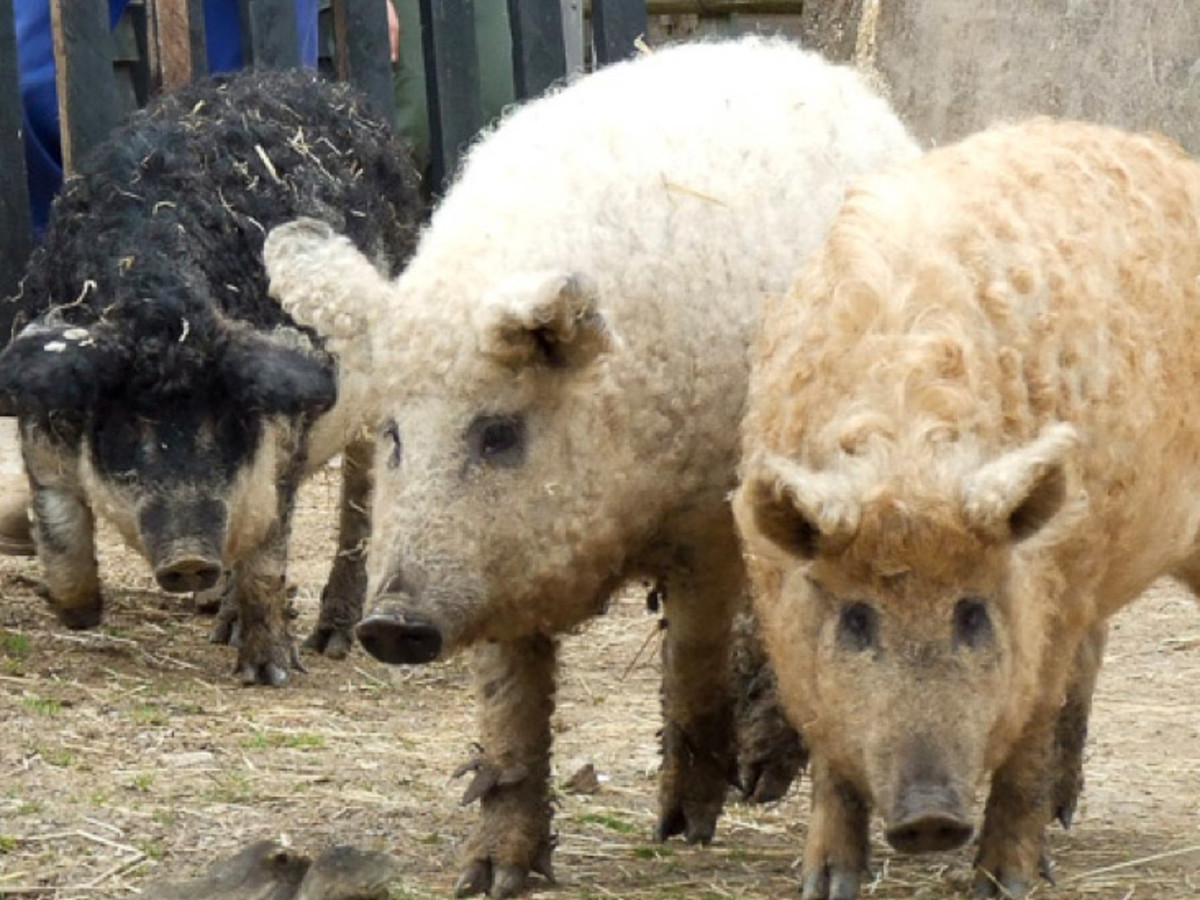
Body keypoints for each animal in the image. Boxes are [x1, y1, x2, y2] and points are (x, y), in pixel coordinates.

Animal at [0, 68, 421, 684]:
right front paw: (77, 613)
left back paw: (329, 641)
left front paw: (270, 674)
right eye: (122, 428)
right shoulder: (44, 416)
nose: (189, 559)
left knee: (360, 498)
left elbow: (267, 556)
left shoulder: (281, 440)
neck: (163, 310)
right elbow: (58, 518)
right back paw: (222, 624)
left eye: (228, 424)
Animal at [264, 37, 918, 896]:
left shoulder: (708, 516)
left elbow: (694, 657)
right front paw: (493, 876)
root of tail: (812, 63)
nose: (391, 624)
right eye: (397, 434)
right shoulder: (496, 569)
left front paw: (684, 827)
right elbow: (510, 709)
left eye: (498, 432)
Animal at [733, 117, 1200, 898]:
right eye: (856, 619)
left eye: (973, 613)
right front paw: (827, 882)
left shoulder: (1054, 594)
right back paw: (1065, 816)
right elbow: (831, 756)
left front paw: (1004, 883)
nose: (929, 818)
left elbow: (1027, 741)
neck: (908, 465)